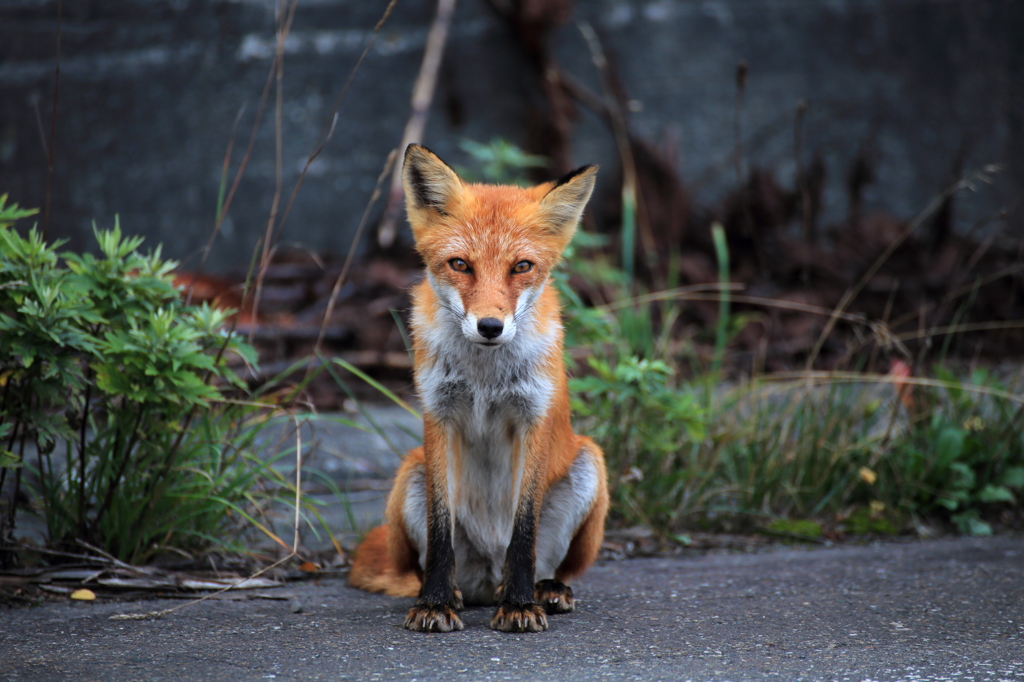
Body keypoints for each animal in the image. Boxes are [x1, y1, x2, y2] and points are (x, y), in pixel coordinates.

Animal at [350, 143, 606, 630]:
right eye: (460, 265)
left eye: (521, 267)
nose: (490, 326)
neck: (485, 377)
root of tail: (487, 579)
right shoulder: (439, 415)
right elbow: (440, 528)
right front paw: (434, 604)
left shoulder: (533, 417)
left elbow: (523, 530)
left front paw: (520, 605)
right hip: (408, 474)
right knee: (428, 566)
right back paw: (450, 592)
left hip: (591, 467)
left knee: (551, 565)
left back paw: (543, 590)